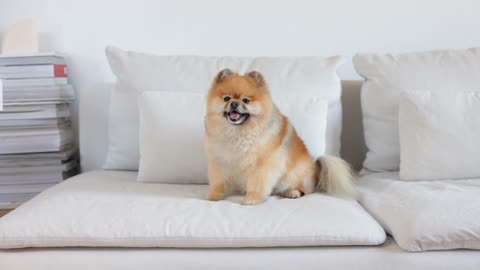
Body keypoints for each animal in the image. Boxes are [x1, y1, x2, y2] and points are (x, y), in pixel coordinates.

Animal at [202, 69, 352, 205]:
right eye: (226, 98)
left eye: (246, 100)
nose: (234, 103)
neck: (238, 132)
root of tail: (316, 168)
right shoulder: (220, 161)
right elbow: (218, 181)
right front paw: (215, 195)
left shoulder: (262, 164)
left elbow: (257, 183)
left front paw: (252, 198)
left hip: (296, 174)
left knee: (305, 189)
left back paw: (292, 192)